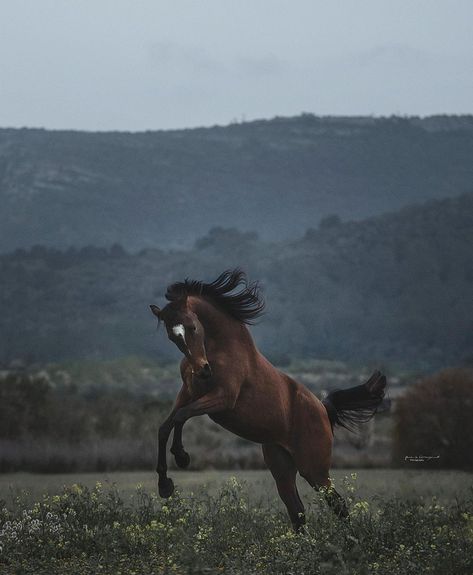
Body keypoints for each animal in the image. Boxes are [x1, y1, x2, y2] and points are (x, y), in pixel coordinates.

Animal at [149, 270, 386, 532]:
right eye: (172, 336)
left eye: (192, 327)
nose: (202, 370)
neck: (221, 349)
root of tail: (324, 410)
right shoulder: (188, 393)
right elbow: (166, 426)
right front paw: (165, 485)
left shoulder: (223, 398)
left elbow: (181, 417)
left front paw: (181, 457)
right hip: (282, 469)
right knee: (298, 512)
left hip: (314, 470)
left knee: (338, 505)